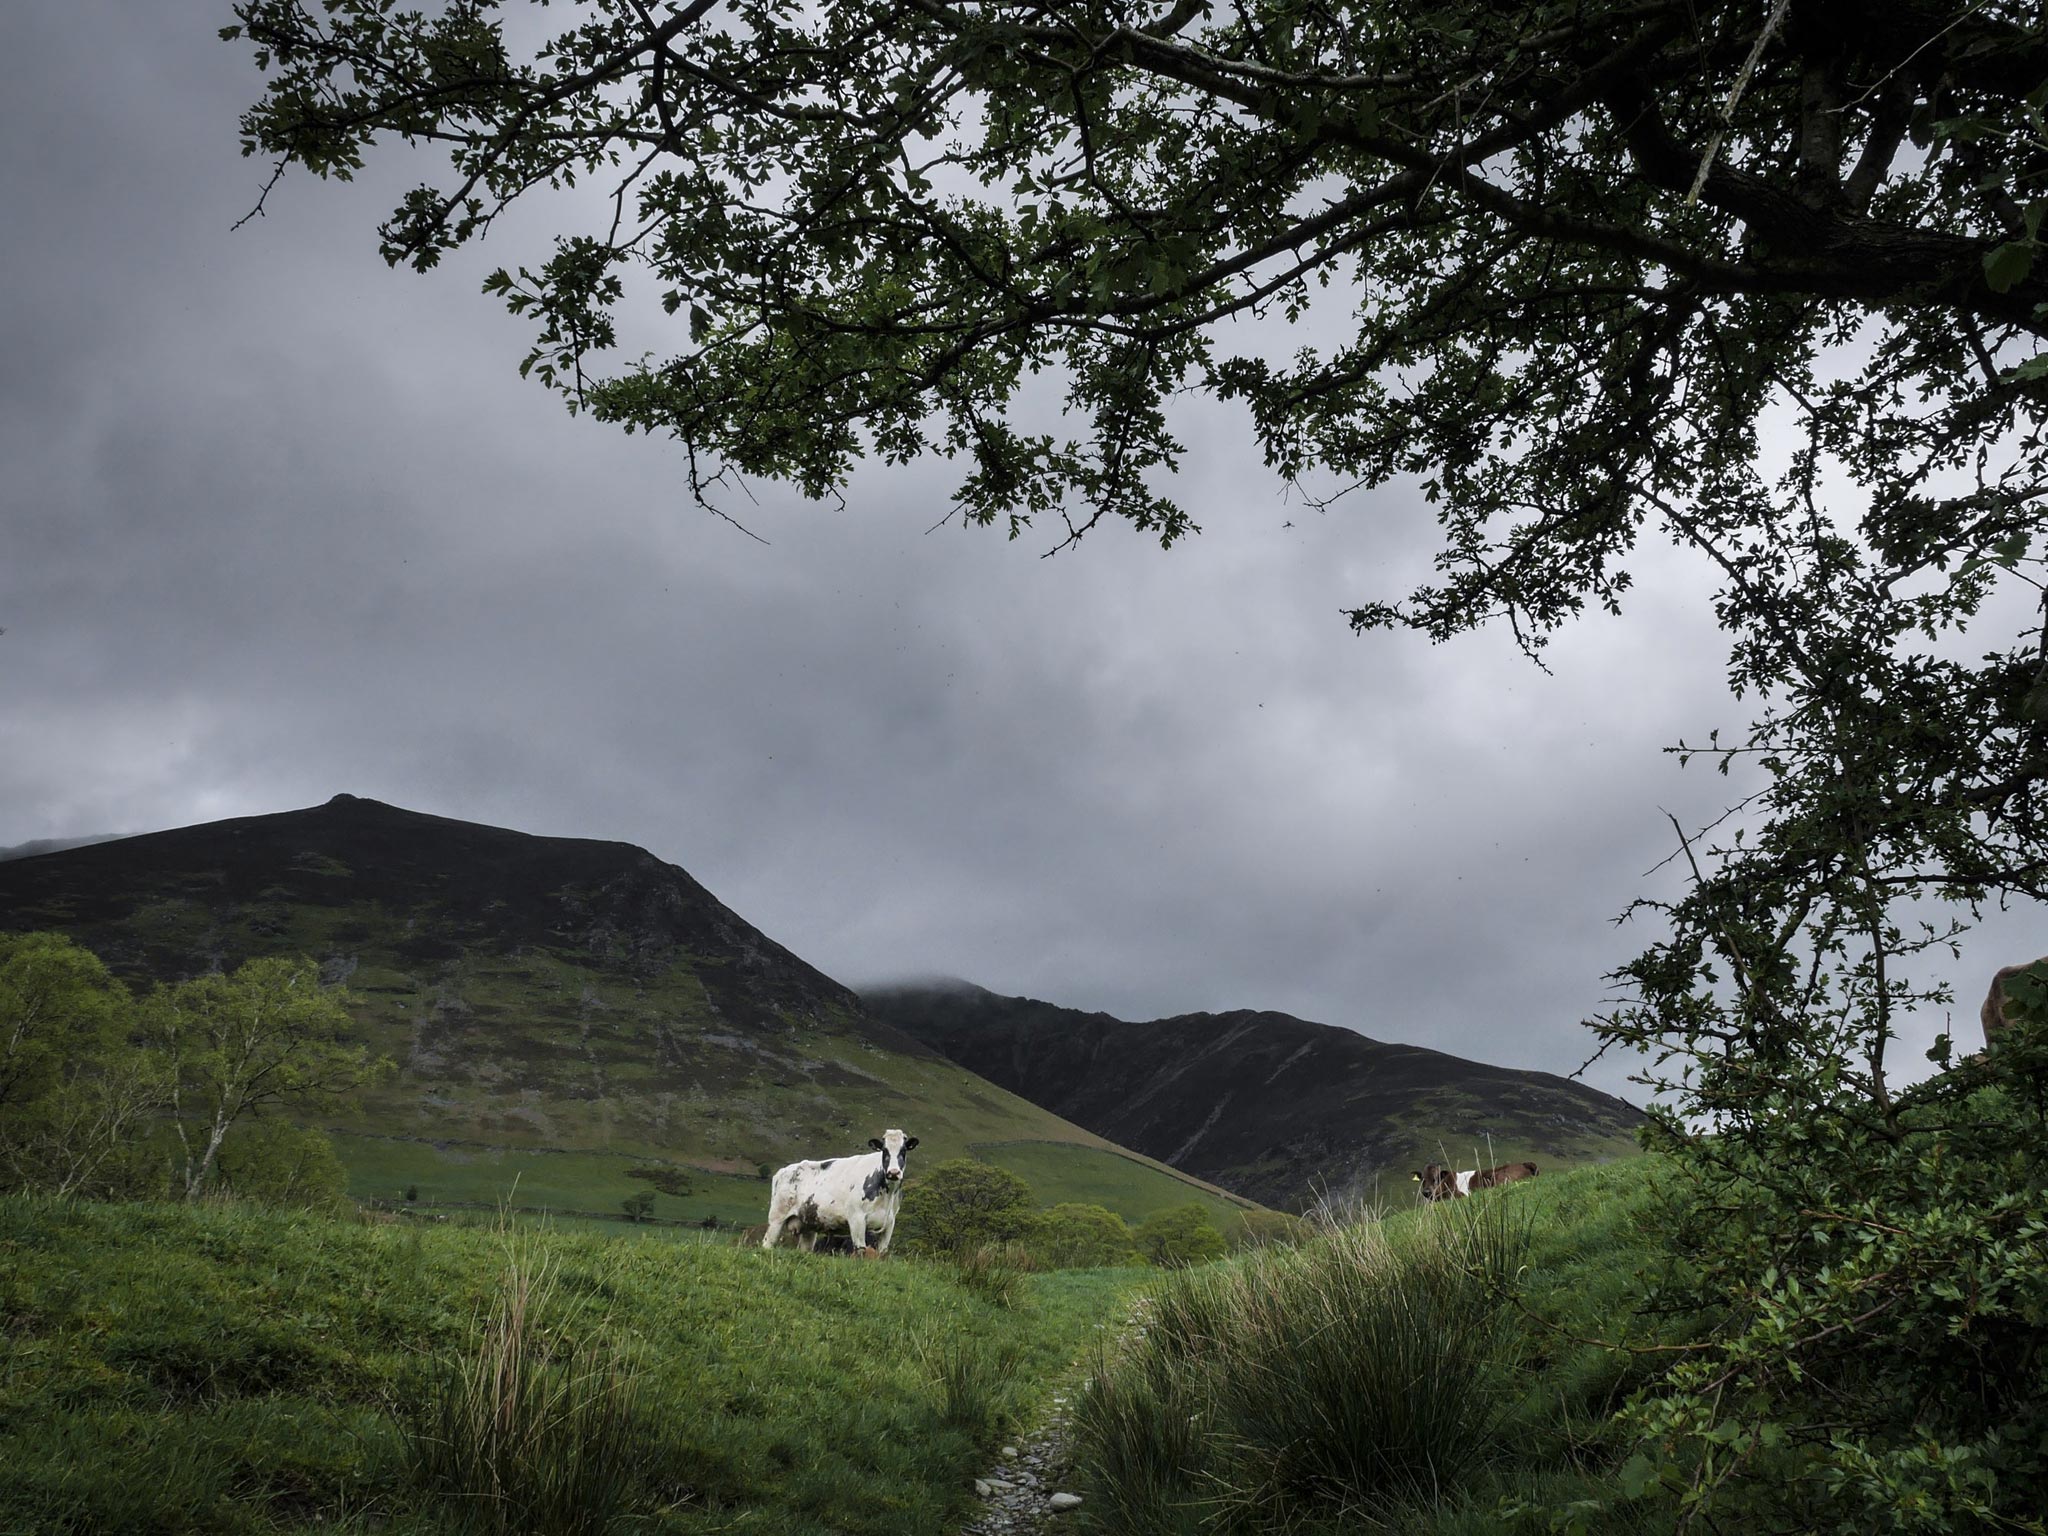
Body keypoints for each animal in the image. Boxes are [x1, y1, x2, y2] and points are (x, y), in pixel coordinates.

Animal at [761, 1130, 921, 1261]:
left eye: (903, 1150)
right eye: (884, 1150)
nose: (893, 1172)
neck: (887, 1195)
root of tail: (784, 1170)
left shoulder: (890, 1223)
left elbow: (883, 1253)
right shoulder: (856, 1218)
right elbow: (860, 1251)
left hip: (808, 1225)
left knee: (804, 1248)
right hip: (776, 1218)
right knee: (767, 1243)